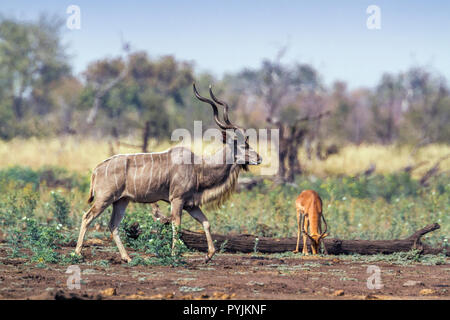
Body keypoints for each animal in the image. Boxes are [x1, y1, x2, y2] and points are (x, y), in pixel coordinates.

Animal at [75, 83, 262, 262]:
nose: (259, 158)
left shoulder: (190, 204)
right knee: (87, 217)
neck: (198, 168)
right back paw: (77, 254)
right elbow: (176, 225)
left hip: (121, 201)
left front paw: (209, 255)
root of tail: (96, 170)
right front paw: (174, 255)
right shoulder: (177, 200)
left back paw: (127, 257)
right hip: (104, 199)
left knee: (113, 224)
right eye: (243, 145)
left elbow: (206, 223)